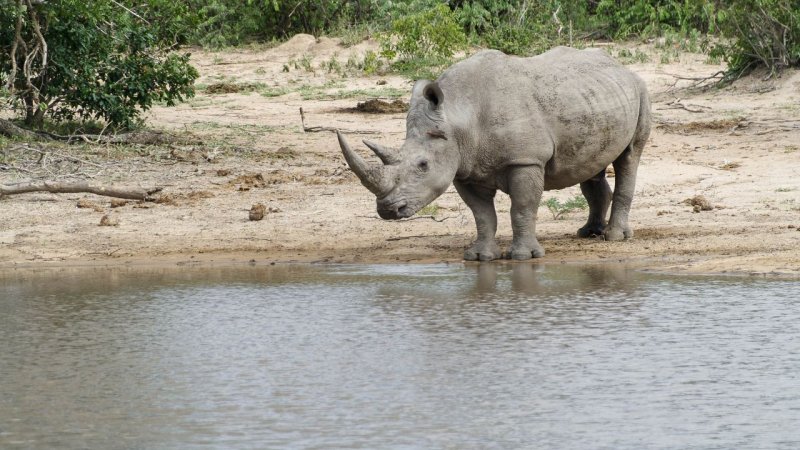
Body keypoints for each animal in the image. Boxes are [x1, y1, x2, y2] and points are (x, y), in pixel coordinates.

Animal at [337, 47, 650, 260]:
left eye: (423, 165)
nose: (388, 210)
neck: (457, 118)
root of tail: (621, 67)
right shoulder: (464, 168)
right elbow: (482, 214)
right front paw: (479, 257)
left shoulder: (525, 161)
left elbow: (522, 208)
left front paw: (523, 257)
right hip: (593, 98)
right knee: (591, 166)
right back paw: (588, 233)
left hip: (640, 89)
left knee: (629, 157)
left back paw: (614, 238)